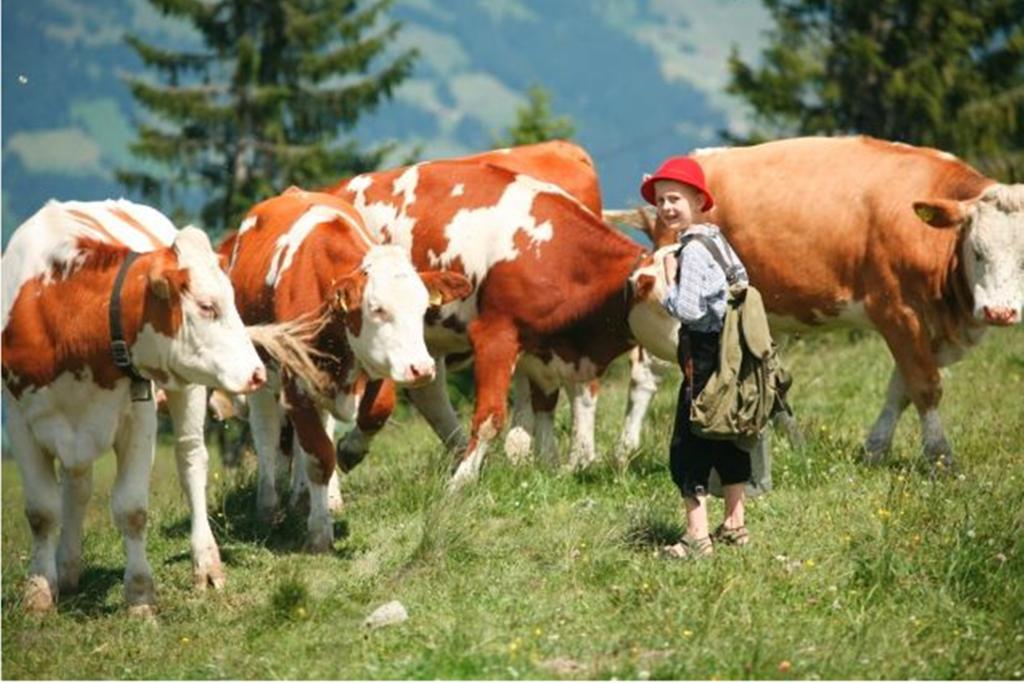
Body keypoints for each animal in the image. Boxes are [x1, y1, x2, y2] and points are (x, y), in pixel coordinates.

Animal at [3, 198, 268, 614]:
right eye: (207, 306)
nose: (258, 373)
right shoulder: (18, 420)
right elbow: (42, 512)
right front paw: (39, 593)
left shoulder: (138, 417)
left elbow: (132, 509)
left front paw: (141, 597)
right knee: (77, 485)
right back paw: (68, 568)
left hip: (188, 390)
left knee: (190, 461)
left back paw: (206, 563)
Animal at [220, 188, 471, 548]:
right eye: (377, 309)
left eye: (423, 307)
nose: (421, 368)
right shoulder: (297, 385)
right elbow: (317, 456)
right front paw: (319, 533)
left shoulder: (378, 364)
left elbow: (375, 412)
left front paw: (350, 453)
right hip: (260, 370)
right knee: (266, 431)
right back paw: (269, 506)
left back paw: (312, 497)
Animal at [327, 157, 647, 489]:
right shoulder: (496, 336)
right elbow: (490, 417)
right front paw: (461, 482)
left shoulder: (549, 349)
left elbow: (553, 401)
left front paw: (554, 466)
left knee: (429, 391)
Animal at [614, 138, 1024, 471]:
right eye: (977, 251)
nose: (1000, 312)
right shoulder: (896, 311)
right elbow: (925, 387)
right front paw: (941, 458)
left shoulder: (927, 328)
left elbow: (901, 388)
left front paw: (875, 449)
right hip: (669, 319)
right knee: (647, 374)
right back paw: (625, 451)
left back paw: (794, 445)